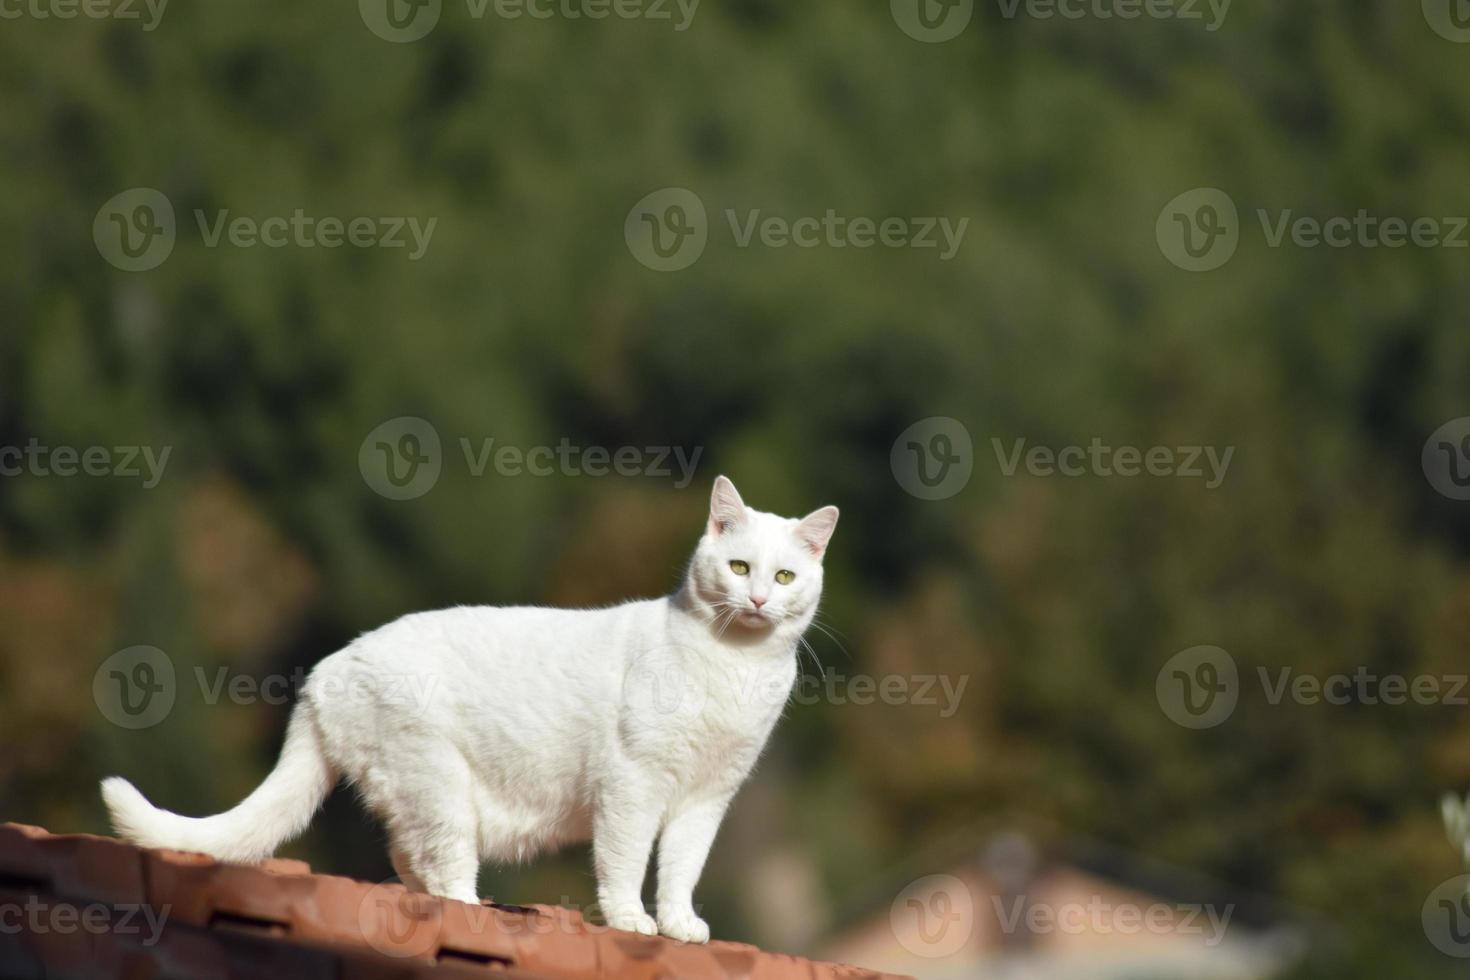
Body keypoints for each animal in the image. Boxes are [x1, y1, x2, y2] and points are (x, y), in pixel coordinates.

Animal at [100, 478, 840, 946]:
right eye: (739, 566)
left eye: (783, 577)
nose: (758, 601)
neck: (735, 668)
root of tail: (325, 672)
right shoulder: (633, 786)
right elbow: (627, 864)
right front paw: (633, 922)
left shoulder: (706, 799)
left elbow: (683, 869)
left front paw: (681, 926)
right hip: (440, 785)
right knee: (440, 864)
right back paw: (466, 907)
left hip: (420, 791)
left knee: (407, 857)